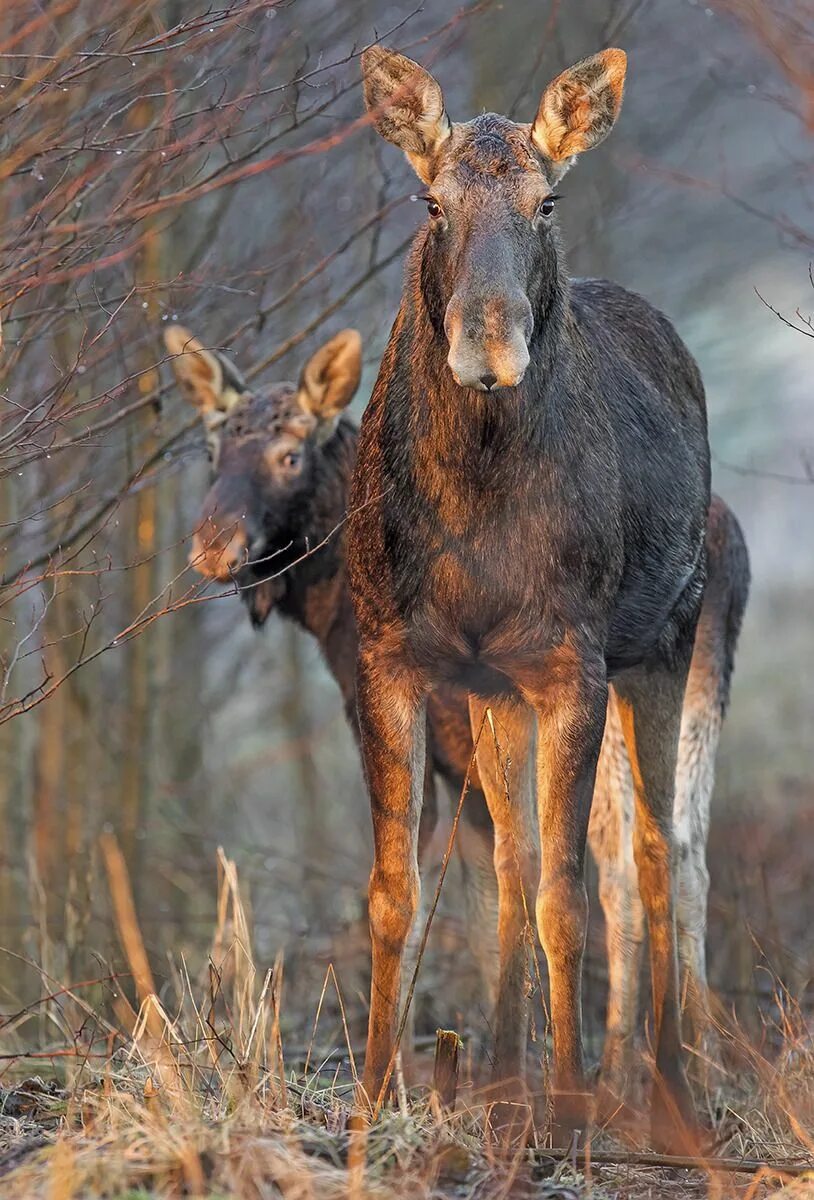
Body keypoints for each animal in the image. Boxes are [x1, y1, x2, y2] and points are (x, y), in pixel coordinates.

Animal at [166, 324, 753, 1118]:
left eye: (290, 455)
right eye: (211, 452)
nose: (212, 545)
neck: (331, 613)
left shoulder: (442, 735)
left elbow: (462, 896)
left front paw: (456, 1079)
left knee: (623, 865)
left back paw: (629, 1073)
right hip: (699, 687)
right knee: (683, 848)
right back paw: (697, 1065)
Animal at [348, 46, 744, 1142]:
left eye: (548, 201)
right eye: (431, 202)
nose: (488, 351)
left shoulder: (574, 664)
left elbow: (571, 892)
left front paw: (566, 1109)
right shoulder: (391, 654)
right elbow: (400, 888)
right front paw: (376, 1093)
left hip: (667, 641)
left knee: (657, 850)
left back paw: (665, 1088)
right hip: (497, 693)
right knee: (517, 865)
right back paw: (497, 1074)